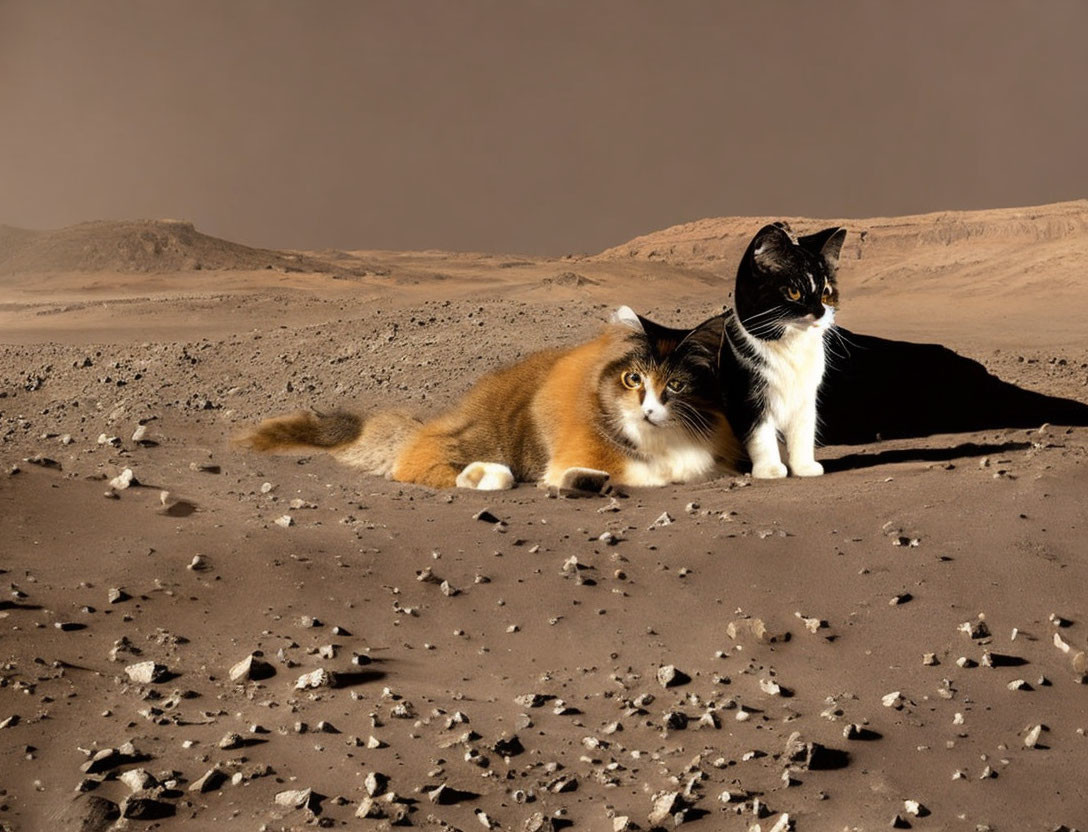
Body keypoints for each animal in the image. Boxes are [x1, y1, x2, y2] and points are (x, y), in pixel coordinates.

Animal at [239, 306, 744, 489]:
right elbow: (632, 473)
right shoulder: (580, 449)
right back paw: (483, 476)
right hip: (483, 436)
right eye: (633, 379)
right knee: (417, 462)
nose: (648, 409)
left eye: (675, 385)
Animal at [722, 224, 848, 476]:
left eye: (826, 292)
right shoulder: (749, 396)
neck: (792, 347)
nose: (820, 312)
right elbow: (761, 434)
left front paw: (805, 467)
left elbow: (803, 431)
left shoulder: (806, 396)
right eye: (794, 292)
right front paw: (770, 470)